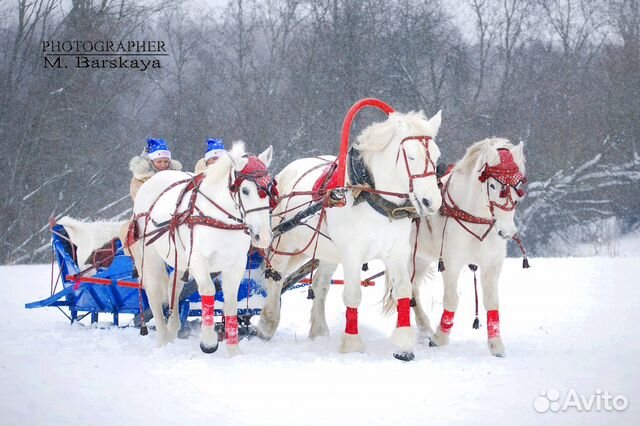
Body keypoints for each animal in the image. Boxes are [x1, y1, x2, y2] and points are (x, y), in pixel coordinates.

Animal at [132, 141, 276, 354]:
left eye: (270, 188)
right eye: (245, 191)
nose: (263, 236)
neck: (221, 219)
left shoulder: (236, 264)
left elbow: (231, 303)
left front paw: (234, 351)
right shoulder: (198, 259)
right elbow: (208, 290)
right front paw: (208, 342)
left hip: (179, 258)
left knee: (174, 286)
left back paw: (173, 327)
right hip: (150, 255)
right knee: (154, 293)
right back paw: (163, 339)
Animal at [258, 110, 442, 360]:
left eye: (436, 156)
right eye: (411, 157)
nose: (431, 202)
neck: (370, 196)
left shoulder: (397, 251)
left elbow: (404, 291)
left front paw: (404, 346)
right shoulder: (353, 253)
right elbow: (353, 295)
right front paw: (352, 345)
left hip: (327, 252)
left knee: (320, 285)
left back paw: (319, 331)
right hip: (285, 243)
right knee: (275, 277)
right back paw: (266, 324)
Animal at [396, 139, 524, 356]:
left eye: (518, 186)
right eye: (492, 185)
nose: (507, 232)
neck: (475, 218)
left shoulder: (492, 264)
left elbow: (492, 301)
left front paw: (496, 345)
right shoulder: (451, 263)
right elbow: (451, 299)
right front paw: (440, 337)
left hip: (420, 259)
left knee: (413, 289)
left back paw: (424, 328)